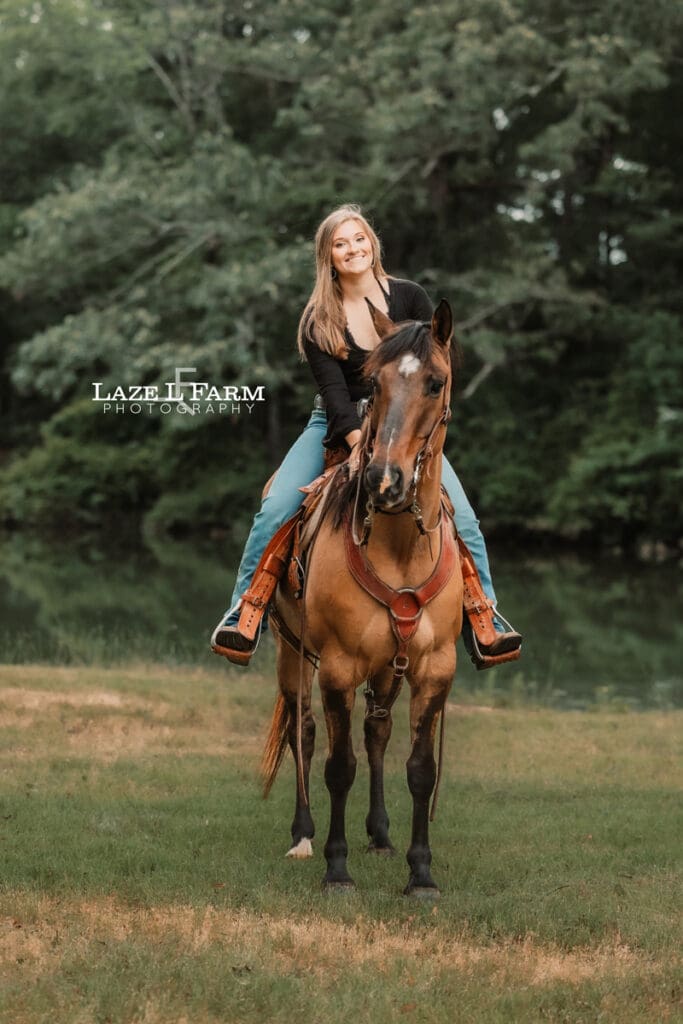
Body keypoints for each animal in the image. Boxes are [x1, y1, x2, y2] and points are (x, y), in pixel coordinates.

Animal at [262, 299, 463, 897]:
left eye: (436, 382)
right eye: (373, 383)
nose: (383, 480)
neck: (399, 547)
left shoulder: (434, 668)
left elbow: (419, 768)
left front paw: (420, 873)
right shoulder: (337, 666)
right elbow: (338, 766)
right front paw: (336, 867)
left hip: (386, 666)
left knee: (377, 732)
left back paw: (379, 833)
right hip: (290, 651)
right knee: (303, 731)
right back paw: (303, 836)